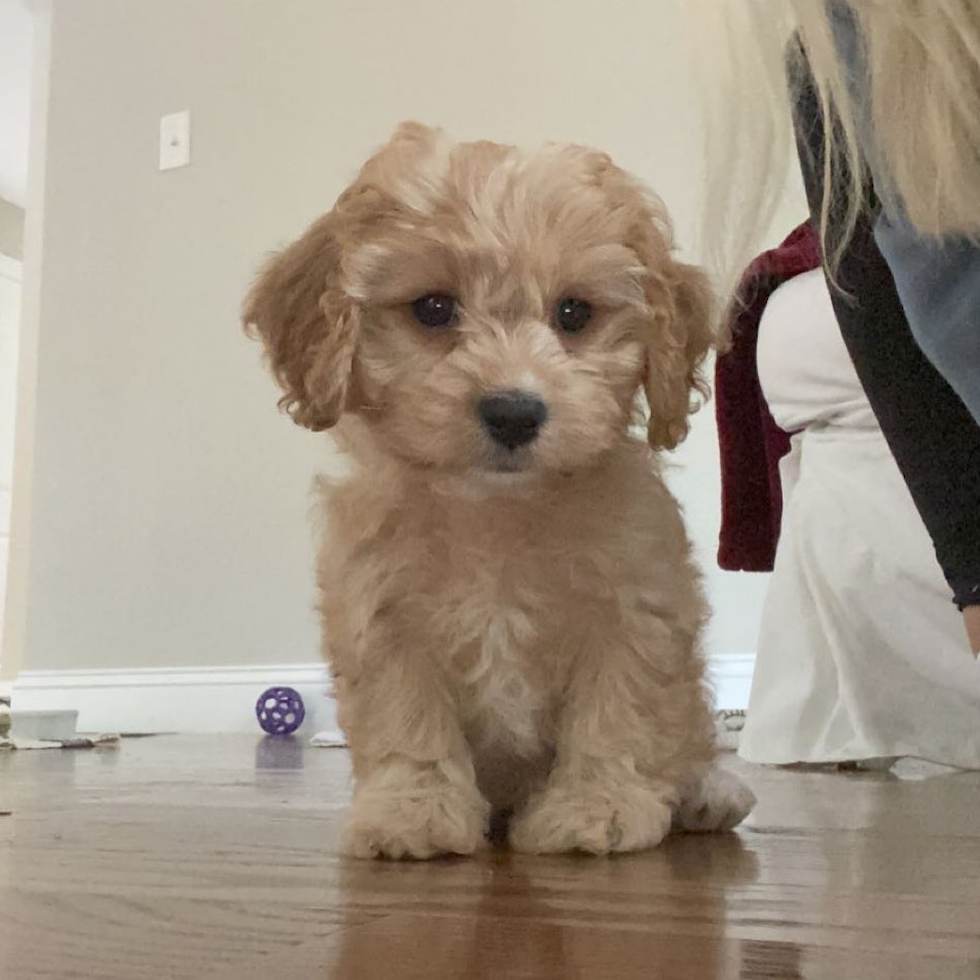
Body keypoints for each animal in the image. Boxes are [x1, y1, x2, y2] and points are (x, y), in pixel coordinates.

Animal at [241, 124, 756, 856]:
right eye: (433, 308)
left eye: (574, 312)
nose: (514, 412)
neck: (497, 511)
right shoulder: (383, 615)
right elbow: (407, 714)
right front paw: (414, 808)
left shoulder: (635, 609)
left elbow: (620, 708)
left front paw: (597, 805)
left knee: (690, 741)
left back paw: (710, 793)